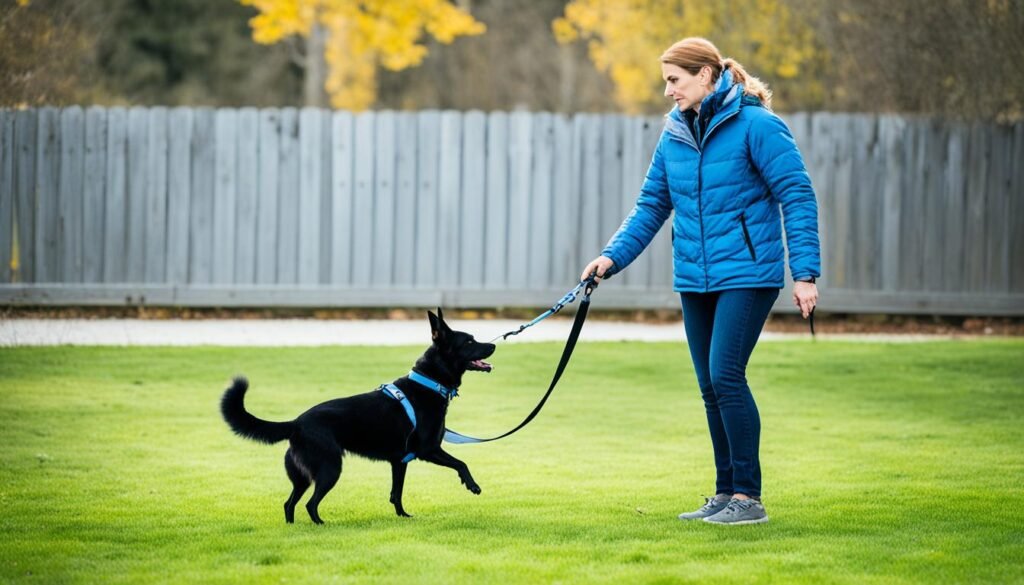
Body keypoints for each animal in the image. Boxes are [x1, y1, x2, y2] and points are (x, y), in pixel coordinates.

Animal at [220, 309, 495, 524]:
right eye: (469, 342)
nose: (494, 345)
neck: (428, 382)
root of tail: (296, 423)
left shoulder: (400, 462)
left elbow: (396, 494)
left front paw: (403, 517)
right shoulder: (428, 450)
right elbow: (461, 463)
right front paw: (472, 485)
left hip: (302, 477)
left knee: (289, 504)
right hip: (330, 469)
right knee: (310, 504)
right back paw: (321, 525)